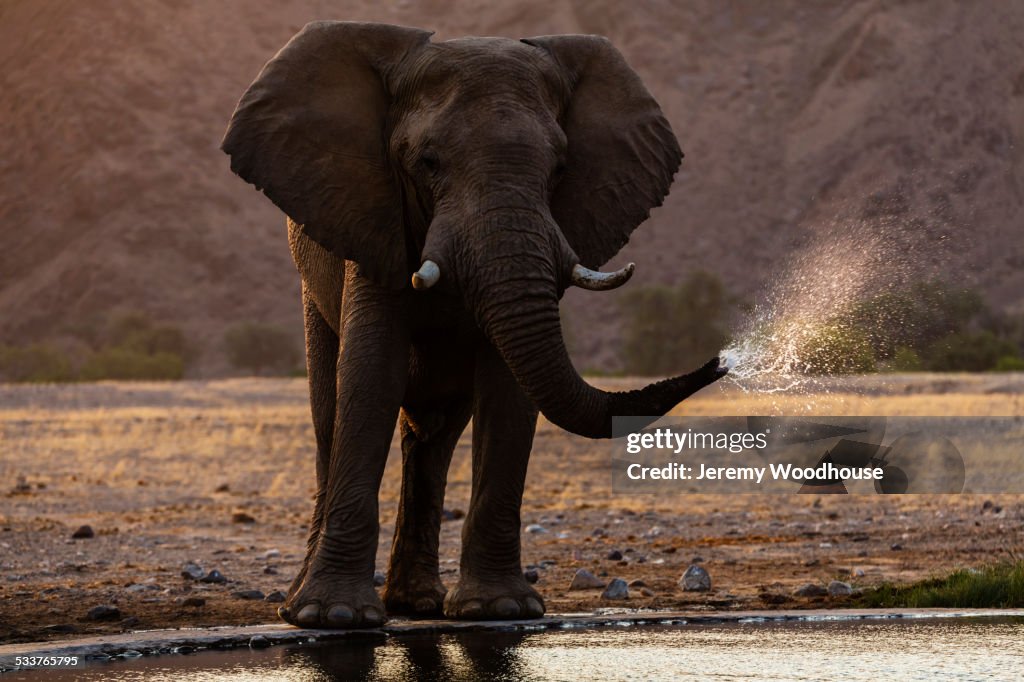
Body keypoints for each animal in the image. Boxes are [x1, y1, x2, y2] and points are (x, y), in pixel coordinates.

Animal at [222, 21, 729, 626]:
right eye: (428, 161)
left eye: (560, 168)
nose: (725, 358)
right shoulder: (371, 220)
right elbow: (370, 377)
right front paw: (335, 617)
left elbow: (508, 390)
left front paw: (501, 609)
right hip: (310, 284)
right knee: (331, 414)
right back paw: (306, 603)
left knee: (433, 434)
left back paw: (417, 603)